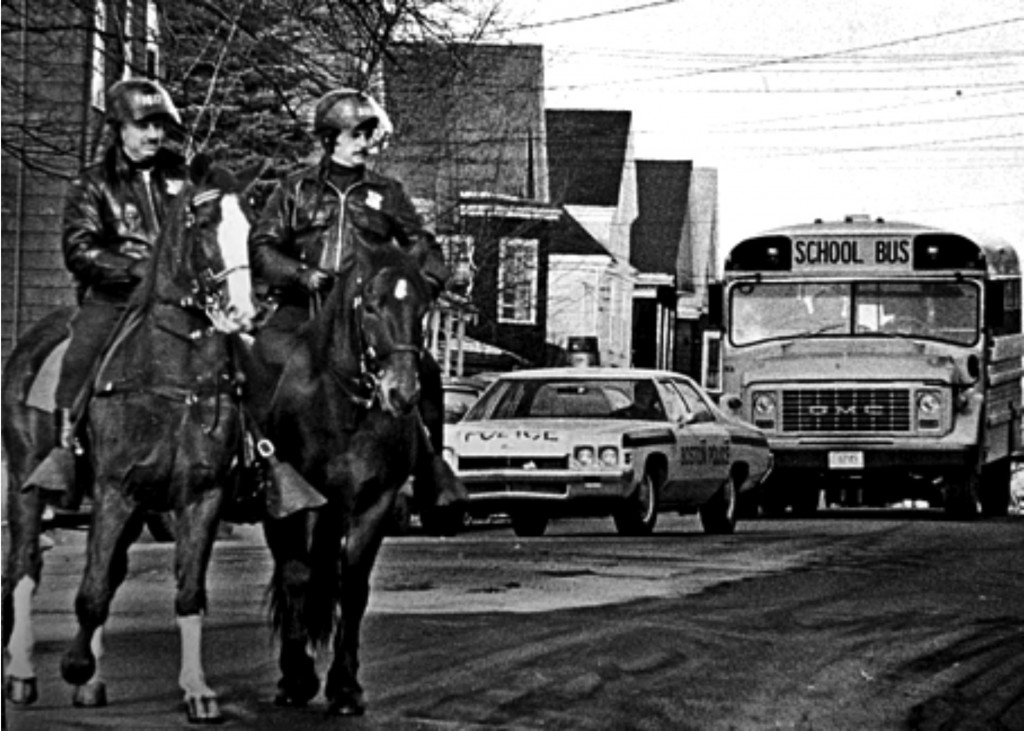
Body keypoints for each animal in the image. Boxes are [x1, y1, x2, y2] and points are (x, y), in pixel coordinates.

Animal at [4, 156, 260, 720]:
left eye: (250, 227)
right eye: (203, 223)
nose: (242, 313)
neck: (175, 377)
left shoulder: (200, 497)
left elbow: (187, 592)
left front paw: (197, 689)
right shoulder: (114, 491)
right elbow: (91, 591)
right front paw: (74, 665)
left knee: (108, 568)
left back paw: (90, 680)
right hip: (27, 487)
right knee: (25, 569)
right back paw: (23, 674)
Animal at [242, 237, 432, 712]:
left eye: (424, 308)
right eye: (372, 306)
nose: (402, 392)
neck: (346, 406)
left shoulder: (374, 502)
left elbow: (354, 586)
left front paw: (345, 686)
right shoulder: (295, 501)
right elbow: (296, 576)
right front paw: (296, 678)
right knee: (293, 571)